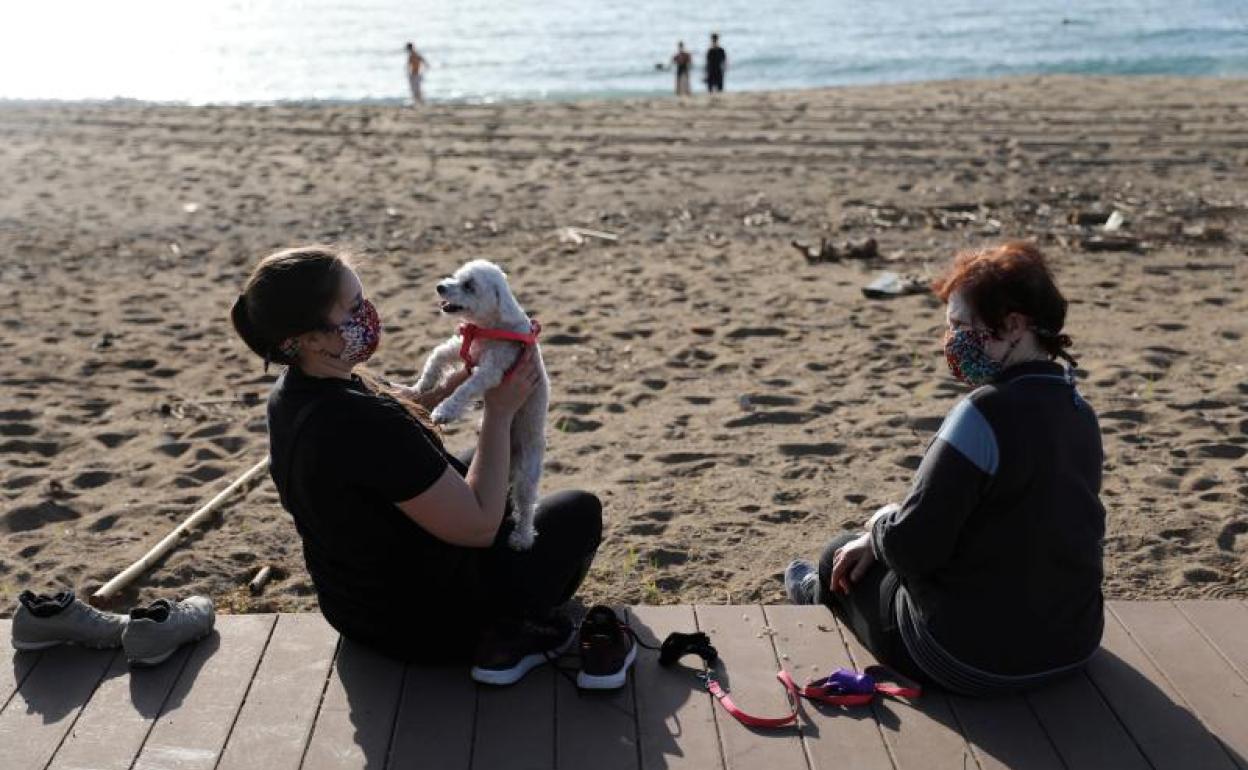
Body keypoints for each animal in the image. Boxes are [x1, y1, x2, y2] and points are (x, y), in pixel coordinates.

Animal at [411, 259, 549, 550]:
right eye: (455, 276)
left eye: (469, 286)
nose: (440, 286)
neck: (488, 327)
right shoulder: (464, 349)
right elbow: (437, 356)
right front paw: (420, 386)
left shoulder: (492, 369)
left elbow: (465, 388)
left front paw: (444, 411)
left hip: (528, 471)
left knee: (526, 505)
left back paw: (522, 537)